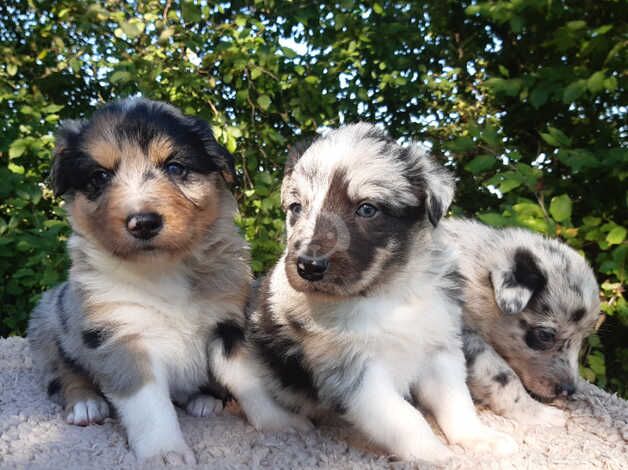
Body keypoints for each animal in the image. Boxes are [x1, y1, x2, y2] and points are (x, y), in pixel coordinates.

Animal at [28, 97, 310, 464]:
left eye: (175, 168)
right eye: (99, 176)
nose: (143, 222)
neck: (163, 268)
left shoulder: (228, 324)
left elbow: (251, 381)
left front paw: (280, 424)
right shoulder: (120, 334)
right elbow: (149, 405)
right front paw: (165, 453)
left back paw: (203, 400)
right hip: (49, 317)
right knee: (61, 371)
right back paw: (85, 404)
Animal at [245, 123, 516, 464]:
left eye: (367, 209)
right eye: (296, 208)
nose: (308, 266)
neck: (388, 292)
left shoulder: (438, 348)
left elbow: (457, 401)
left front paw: (480, 438)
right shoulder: (351, 371)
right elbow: (405, 418)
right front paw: (434, 454)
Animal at [440, 218, 600, 428]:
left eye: (583, 339)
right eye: (545, 336)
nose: (569, 390)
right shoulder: (468, 338)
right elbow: (502, 376)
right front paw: (540, 413)